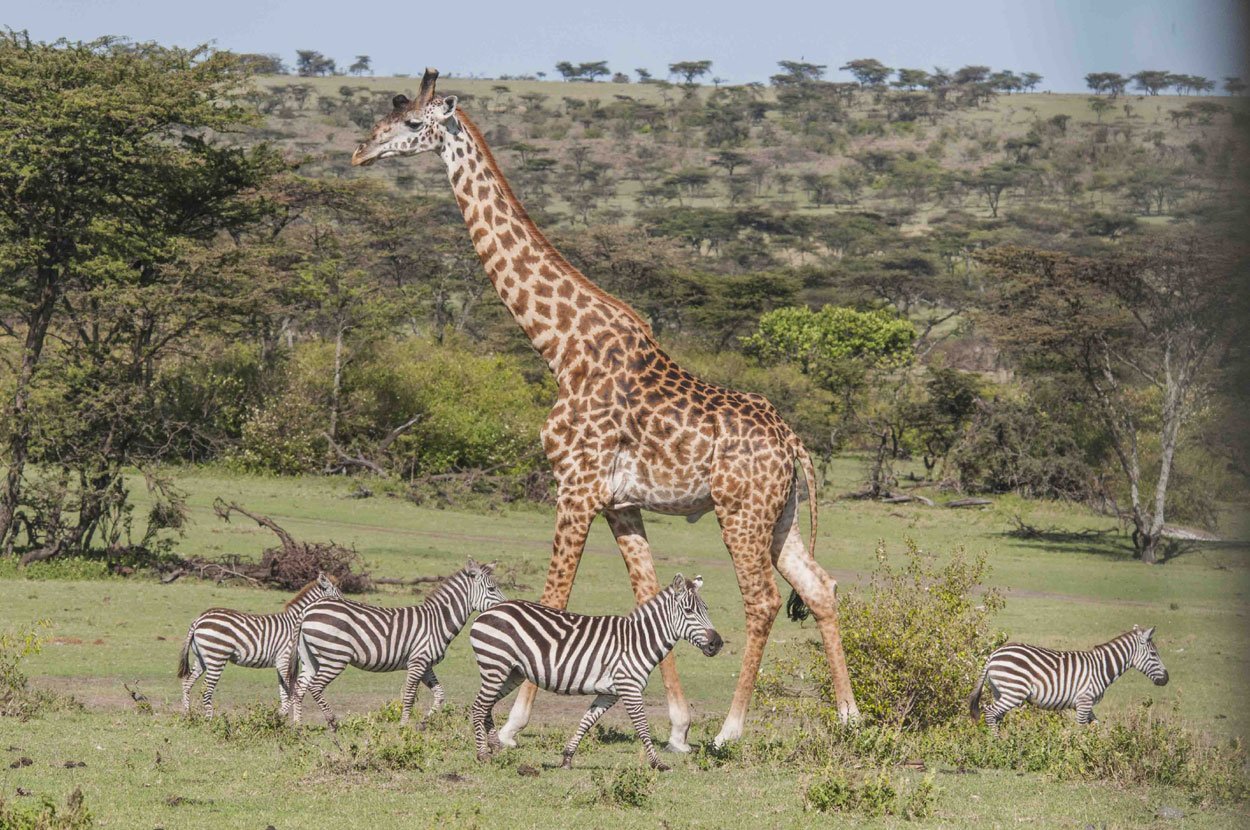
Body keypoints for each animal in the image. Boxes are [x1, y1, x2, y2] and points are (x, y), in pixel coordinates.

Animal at [177, 575, 342, 715]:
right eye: (339, 596)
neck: (295, 623)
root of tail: (199, 620)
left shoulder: (280, 663)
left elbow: (284, 694)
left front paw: (281, 721)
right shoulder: (284, 660)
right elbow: (291, 692)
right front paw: (278, 717)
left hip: (202, 658)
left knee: (187, 682)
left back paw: (187, 714)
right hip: (216, 658)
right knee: (206, 691)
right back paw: (210, 720)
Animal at [286, 557, 505, 725]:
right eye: (492, 588)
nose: (506, 607)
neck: (437, 620)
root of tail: (308, 610)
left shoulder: (425, 664)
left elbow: (440, 695)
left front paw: (424, 722)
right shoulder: (417, 663)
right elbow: (408, 697)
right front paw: (404, 725)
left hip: (310, 658)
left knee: (299, 689)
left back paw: (298, 726)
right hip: (335, 657)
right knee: (315, 687)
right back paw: (332, 721)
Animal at [352, 68, 860, 750]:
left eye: (411, 123)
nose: (360, 152)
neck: (561, 348)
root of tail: (794, 442)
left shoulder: (576, 484)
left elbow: (553, 600)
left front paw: (511, 724)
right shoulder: (620, 502)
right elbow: (647, 598)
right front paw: (676, 727)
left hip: (740, 512)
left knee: (762, 601)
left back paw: (731, 730)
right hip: (779, 516)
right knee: (822, 588)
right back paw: (849, 717)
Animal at [470, 570, 725, 770]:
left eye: (706, 609)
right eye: (689, 611)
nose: (717, 643)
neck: (638, 640)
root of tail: (490, 610)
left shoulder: (609, 693)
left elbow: (586, 721)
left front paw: (567, 758)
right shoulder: (629, 687)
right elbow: (643, 727)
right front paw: (658, 764)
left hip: (511, 672)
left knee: (486, 706)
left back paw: (495, 747)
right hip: (496, 665)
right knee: (479, 707)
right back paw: (482, 754)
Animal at [970, 625, 1165, 735]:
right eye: (1154, 654)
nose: (1166, 679)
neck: (1101, 667)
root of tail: (993, 654)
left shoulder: (1085, 703)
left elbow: (1096, 726)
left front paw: (1099, 750)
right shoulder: (1084, 701)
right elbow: (1080, 729)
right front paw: (1077, 754)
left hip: (1001, 691)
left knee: (996, 716)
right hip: (1014, 692)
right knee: (990, 712)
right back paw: (995, 744)